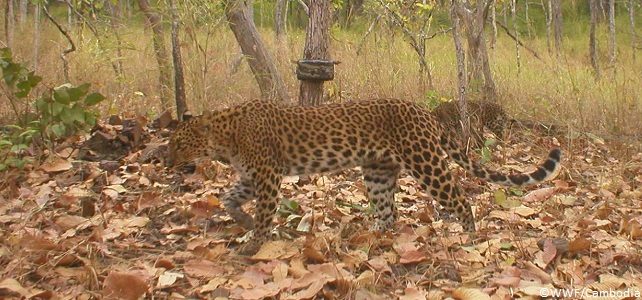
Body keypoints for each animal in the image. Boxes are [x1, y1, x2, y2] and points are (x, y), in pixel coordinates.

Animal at [166, 98, 560, 253]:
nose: (167, 163)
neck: (223, 136)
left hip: (425, 162)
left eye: (179, 144)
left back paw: (469, 238)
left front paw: (254, 244)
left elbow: (265, 214)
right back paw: (372, 238)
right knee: (389, 211)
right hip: (377, 173)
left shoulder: (266, 175)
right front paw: (243, 222)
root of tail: (423, 111)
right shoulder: (250, 177)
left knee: (460, 199)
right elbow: (228, 198)